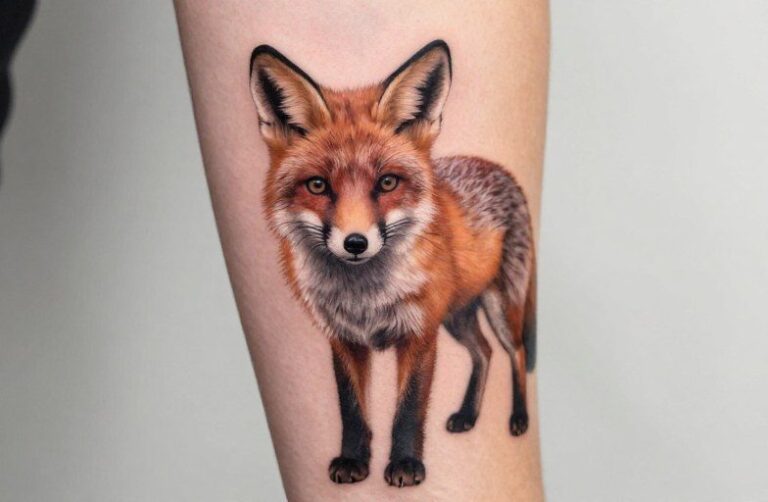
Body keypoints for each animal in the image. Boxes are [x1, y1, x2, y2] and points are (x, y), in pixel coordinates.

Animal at [248, 40, 536, 487]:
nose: (355, 242)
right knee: (484, 353)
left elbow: (408, 408)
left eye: (386, 183)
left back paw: (518, 418)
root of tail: (498, 168)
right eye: (318, 185)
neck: (364, 296)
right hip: (458, 317)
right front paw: (353, 460)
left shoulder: (420, 334)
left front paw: (404, 465)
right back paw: (468, 416)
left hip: (499, 308)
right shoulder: (342, 338)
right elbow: (351, 408)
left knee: (516, 354)